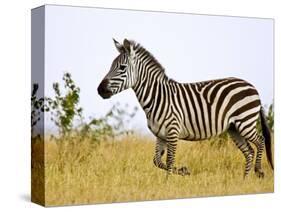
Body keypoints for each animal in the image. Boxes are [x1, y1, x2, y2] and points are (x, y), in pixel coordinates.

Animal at [97, 38, 272, 177]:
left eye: (122, 68)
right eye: (111, 66)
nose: (100, 90)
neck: (157, 96)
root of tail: (252, 86)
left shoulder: (173, 132)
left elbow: (168, 161)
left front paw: (167, 184)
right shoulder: (160, 135)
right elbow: (157, 161)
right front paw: (183, 171)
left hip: (245, 122)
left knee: (260, 141)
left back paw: (259, 171)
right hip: (234, 128)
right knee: (249, 152)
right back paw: (245, 180)